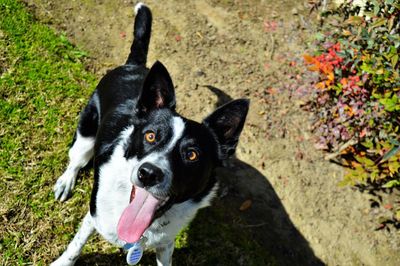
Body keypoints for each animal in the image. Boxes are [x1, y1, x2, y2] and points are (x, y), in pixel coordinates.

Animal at [51, 2, 248, 266]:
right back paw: (66, 181)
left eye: (192, 154)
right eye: (151, 136)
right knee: (76, 160)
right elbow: (76, 244)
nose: (148, 174)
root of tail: (134, 65)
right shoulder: (93, 216)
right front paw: (63, 262)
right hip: (86, 134)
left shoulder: (166, 243)